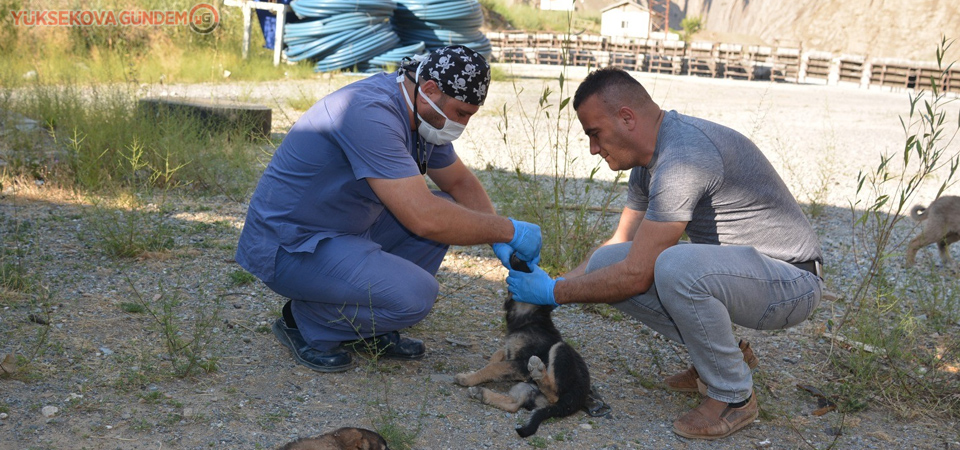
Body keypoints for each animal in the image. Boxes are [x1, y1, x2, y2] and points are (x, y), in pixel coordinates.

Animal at [454, 256, 588, 436]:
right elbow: (496, 357)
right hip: (525, 387)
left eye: (531, 268)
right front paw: (477, 374)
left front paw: (469, 378)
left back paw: (539, 372)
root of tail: (578, 398)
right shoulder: (510, 351)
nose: (516, 255)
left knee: (555, 394)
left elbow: (493, 367)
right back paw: (482, 394)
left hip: (561, 350)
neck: (528, 319)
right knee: (514, 405)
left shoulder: (522, 363)